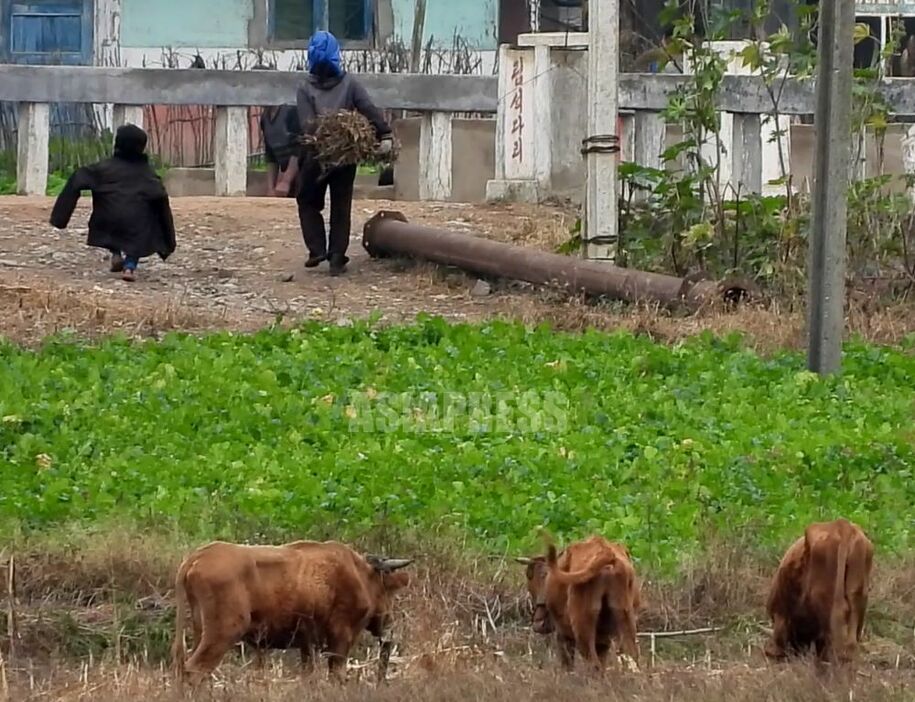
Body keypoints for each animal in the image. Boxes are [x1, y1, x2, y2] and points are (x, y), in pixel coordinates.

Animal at [171, 540, 412, 684]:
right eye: (390, 591)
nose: (388, 621)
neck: (361, 575)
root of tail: (196, 557)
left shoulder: (307, 643)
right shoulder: (341, 636)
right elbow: (337, 675)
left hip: (200, 629)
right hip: (223, 632)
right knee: (194, 670)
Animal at [520, 536, 640, 672]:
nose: (538, 623)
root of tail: (607, 555)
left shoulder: (563, 634)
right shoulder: (603, 640)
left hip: (582, 625)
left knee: (594, 664)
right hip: (625, 617)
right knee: (631, 656)